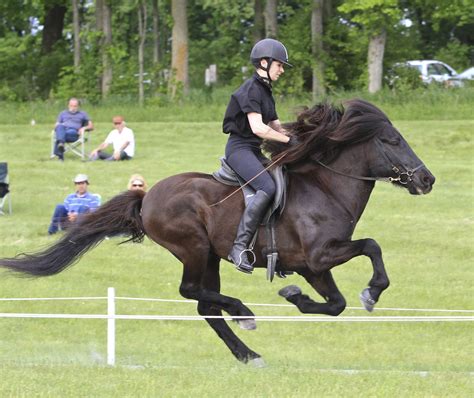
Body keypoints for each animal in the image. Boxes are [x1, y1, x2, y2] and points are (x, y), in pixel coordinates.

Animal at [0, 98, 436, 364]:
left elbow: (335, 304)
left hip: (209, 254)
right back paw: (244, 313)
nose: (427, 180)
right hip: (192, 246)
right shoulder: (321, 255)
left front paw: (296, 296)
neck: (326, 188)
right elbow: (372, 247)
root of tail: (147, 195)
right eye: (393, 140)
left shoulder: (313, 266)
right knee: (191, 292)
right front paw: (372, 292)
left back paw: (248, 353)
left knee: (204, 306)